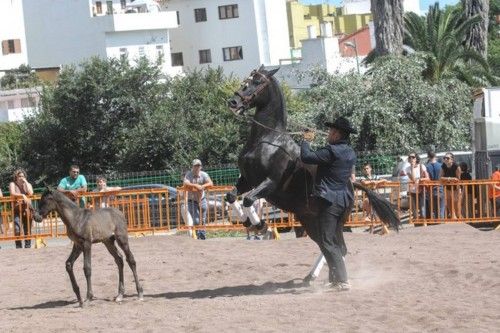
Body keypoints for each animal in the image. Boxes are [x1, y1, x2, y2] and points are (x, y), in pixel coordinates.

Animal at [226, 66, 398, 282]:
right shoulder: (247, 180)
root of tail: (352, 185)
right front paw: (246, 221)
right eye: (245, 80)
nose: (234, 102)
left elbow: (248, 199)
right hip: (309, 220)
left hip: (335, 221)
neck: (267, 140)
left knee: (338, 247)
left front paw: (260, 225)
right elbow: (231, 196)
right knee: (327, 246)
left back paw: (329, 278)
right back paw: (317, 277)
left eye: (258, 82)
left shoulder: (270, 183)